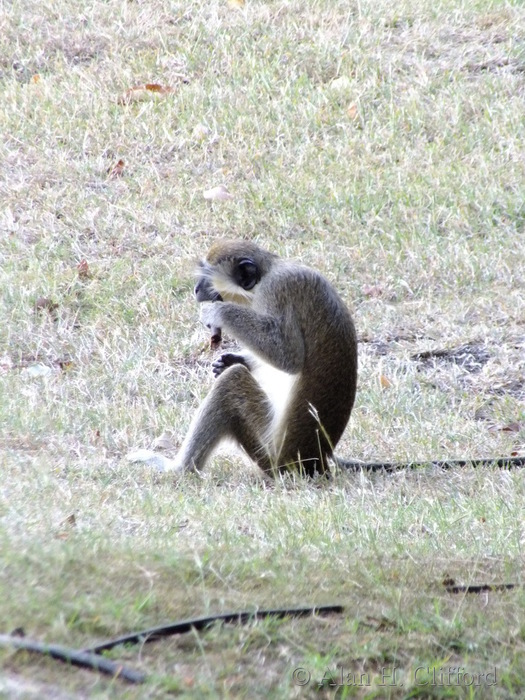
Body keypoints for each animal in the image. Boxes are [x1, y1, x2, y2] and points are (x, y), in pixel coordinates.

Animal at [172, 239, 358, 477]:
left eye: (207, 277)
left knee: (231, 382)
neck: (268, 271)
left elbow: (288, 356)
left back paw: (176, 470)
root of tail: (317, 460)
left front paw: (218, 313)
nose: (196, 289)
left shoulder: (276, 291)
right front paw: (233, 359)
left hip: (270, 455)